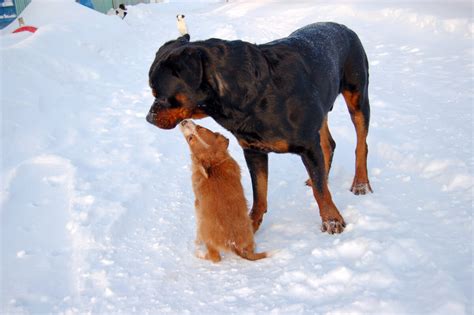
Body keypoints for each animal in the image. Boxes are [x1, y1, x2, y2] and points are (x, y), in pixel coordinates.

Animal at [146, 22, 372, 235]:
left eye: (161, 95)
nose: (148, 118)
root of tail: (343, 27)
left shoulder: (308, 144)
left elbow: (321, 191)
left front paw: (331, 220)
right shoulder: (253, 150)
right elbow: (259, 193)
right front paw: (250, 224)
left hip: (357, 96)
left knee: (361, 144)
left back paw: (360, 182)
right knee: (328, 144)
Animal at [180, 119, 266, 262]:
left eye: (199, 128)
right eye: (192, 136)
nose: (184, 121)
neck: (214, 163)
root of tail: (233, 244)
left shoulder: (197, 203)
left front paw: (197, 242)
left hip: (209, 239)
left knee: (215, 257)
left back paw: (199, 253)